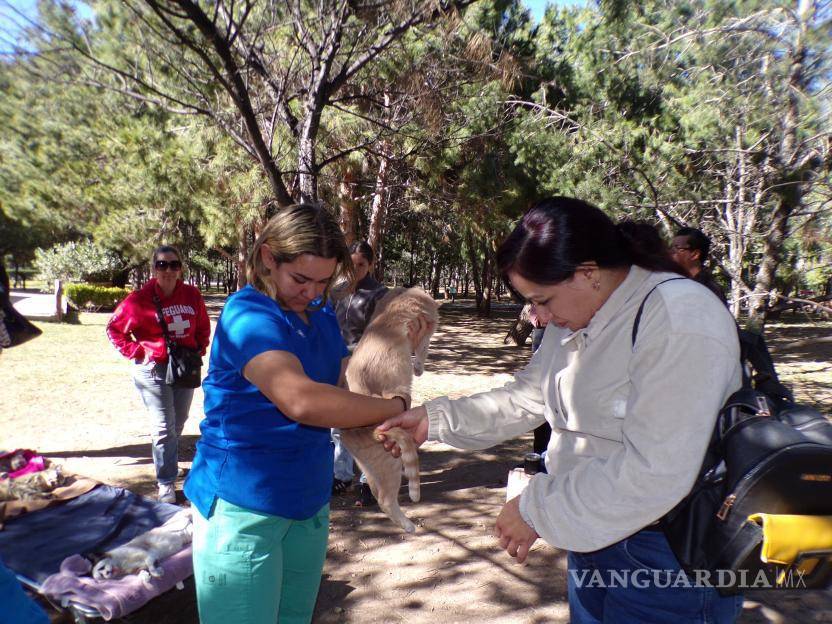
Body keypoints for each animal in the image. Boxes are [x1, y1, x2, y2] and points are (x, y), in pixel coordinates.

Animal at [342, 288, 438, 532]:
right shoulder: (427, 327)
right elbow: (423, 349)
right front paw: (419, 367)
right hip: (392, 464)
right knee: (386, 499)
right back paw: (409, 525)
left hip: (373, 466)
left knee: (379, 495)